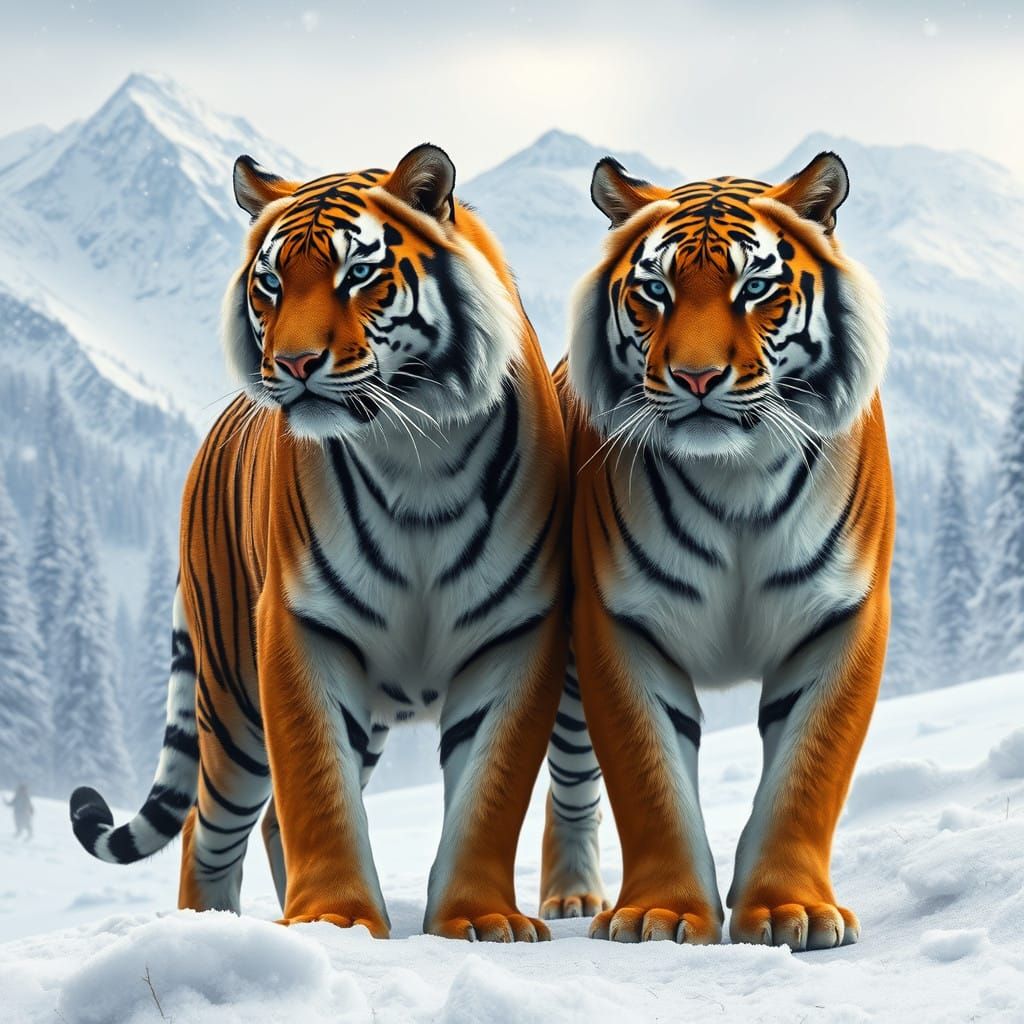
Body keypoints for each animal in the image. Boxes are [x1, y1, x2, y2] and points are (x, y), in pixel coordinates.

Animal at [69, 143, 569, 943]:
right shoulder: (301, 629)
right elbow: (315, 790)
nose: (294, 363)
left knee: (266, 820)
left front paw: (480, 918)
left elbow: (488, 790)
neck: (417, 450)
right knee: (208, 827)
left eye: (357, 273)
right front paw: (337, 919)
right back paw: (210, 932)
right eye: (271, 282)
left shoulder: (517, 633)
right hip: (234, 702)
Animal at [538, 152, 892, 950]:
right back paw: (571, 899)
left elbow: (807, 775)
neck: (739, 477)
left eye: (754, 287)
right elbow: (649, 780)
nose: (697, 378)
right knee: (571, 785)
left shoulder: (842, 618)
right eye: (655, 290)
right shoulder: (619, 625)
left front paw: (792, 911)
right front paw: (661, 915)